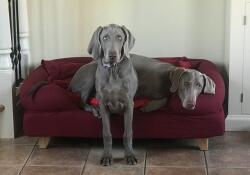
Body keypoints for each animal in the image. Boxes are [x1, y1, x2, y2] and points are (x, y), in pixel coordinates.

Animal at [87, 24, 138, 165]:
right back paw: (95, 110)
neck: (113, 70)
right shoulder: (103, 104)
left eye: (119, 37)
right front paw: (107, 156)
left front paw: (130, 155)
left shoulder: (129, 104)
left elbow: (128, 133)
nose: (112, 55)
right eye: (105, 37)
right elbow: (107, 134)